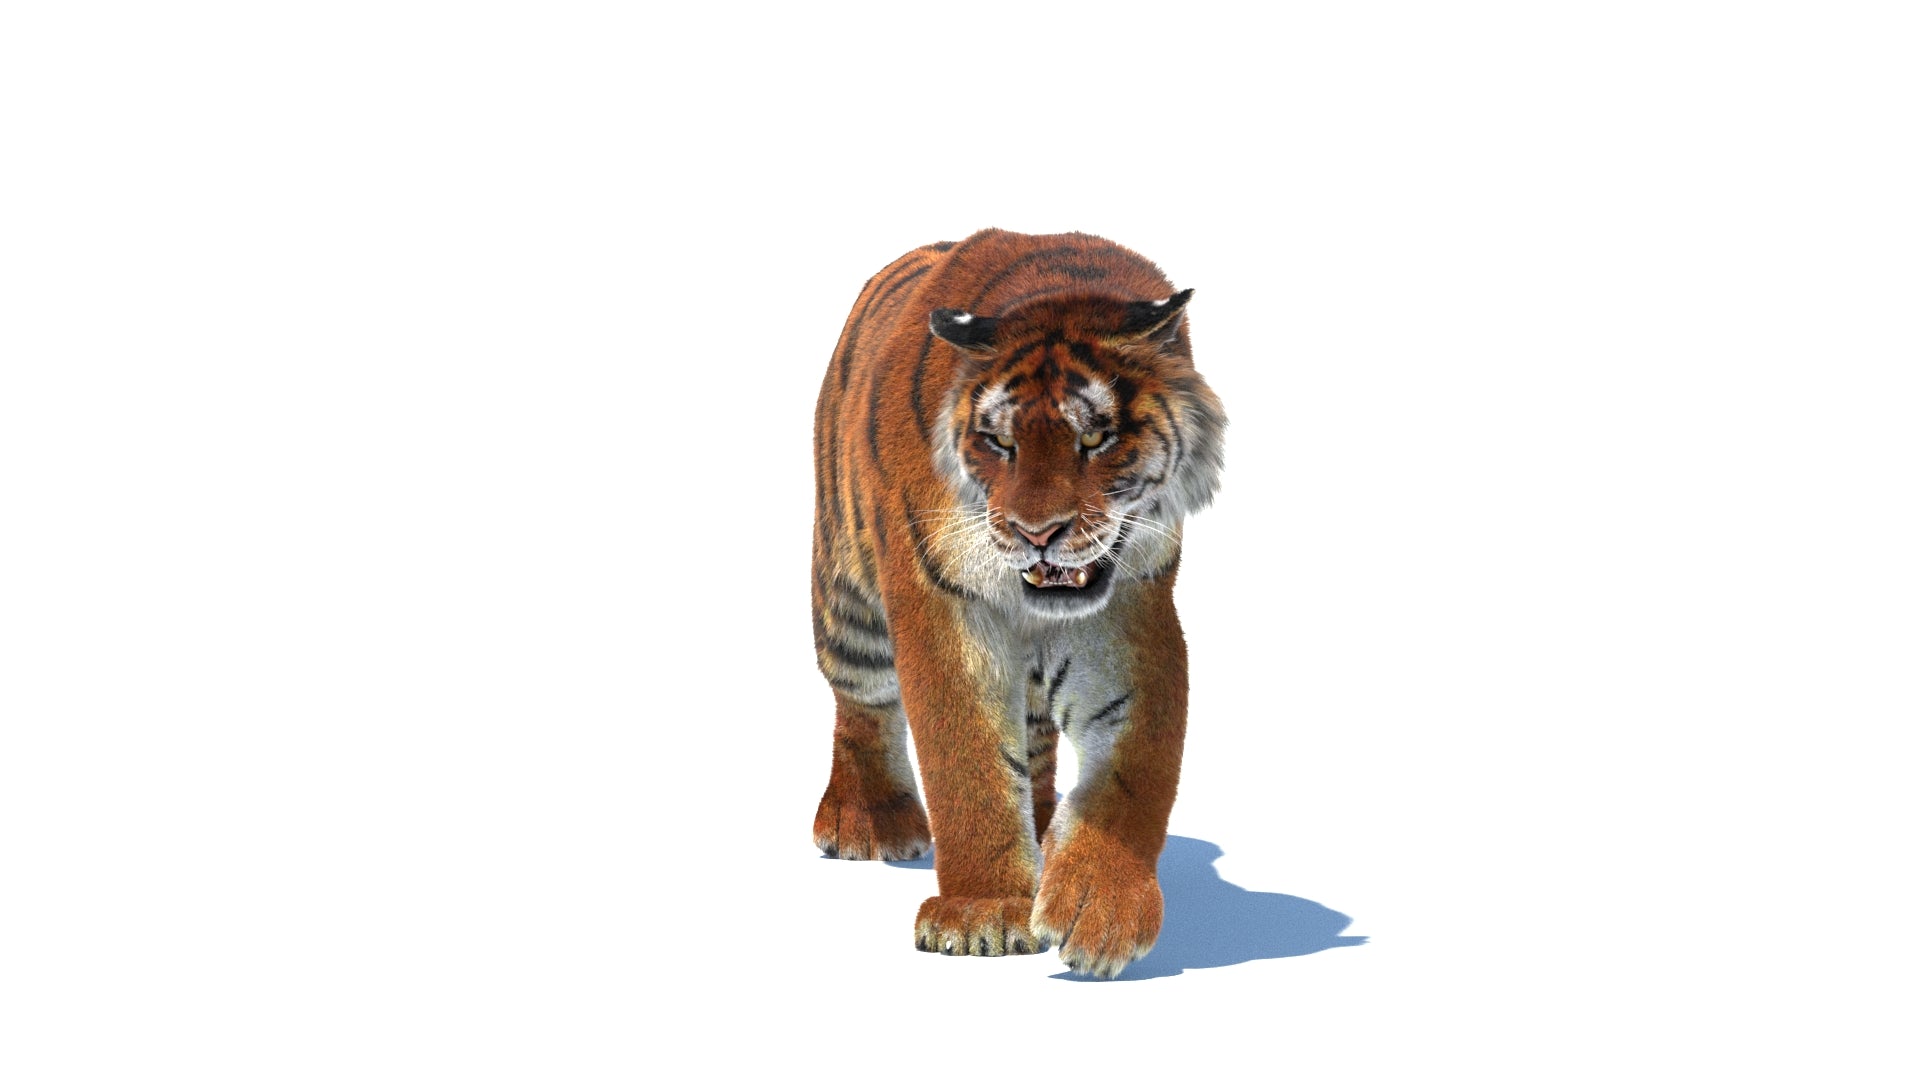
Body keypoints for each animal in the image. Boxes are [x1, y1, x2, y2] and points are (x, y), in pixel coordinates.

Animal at [810, 228, 1226, 978]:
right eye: (1000, 442)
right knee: (861, 703)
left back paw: (1041, 831)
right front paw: (984, 914)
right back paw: (870, 822)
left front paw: (1100, 910)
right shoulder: (942, 608)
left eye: (1095, 438)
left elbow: (1136, 767)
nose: (1037, 533)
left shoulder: (1132, 614)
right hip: (848, 602)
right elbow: (967, 761)